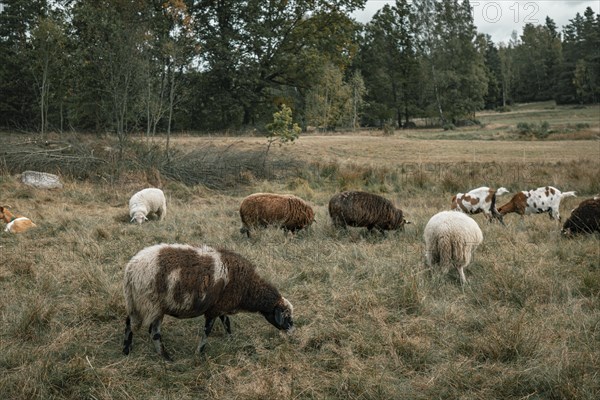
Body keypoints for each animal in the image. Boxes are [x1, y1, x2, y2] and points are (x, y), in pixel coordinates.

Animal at [120, 242, 294, 360]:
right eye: (286, 316)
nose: (292, 334)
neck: (248, 287)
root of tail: (131, 269)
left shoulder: (221, 306)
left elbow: (227, 323)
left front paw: (231, 340)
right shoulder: (214, 310)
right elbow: (207, 330)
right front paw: (200, 351)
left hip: (134, 301)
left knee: (129, 323)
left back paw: (127, 350)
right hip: (152, 304)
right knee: (154, 332)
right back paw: (166, 357)